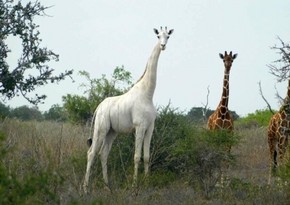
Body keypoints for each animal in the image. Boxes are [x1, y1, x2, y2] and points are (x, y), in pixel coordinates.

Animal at [84, 26, 174, 192]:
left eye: (168, 37)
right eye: (158, 36)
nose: (163, 46)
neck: (148, 94)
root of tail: (98, 107)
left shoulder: (150, 127)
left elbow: (147, 157)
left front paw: (146, 184)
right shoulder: (139, 126)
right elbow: (137, 157)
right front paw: (134, 186)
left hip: (111, 132)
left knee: (103, 154)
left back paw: (108, 187)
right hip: (101, 128)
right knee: (91, 153)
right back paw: (85, 189)